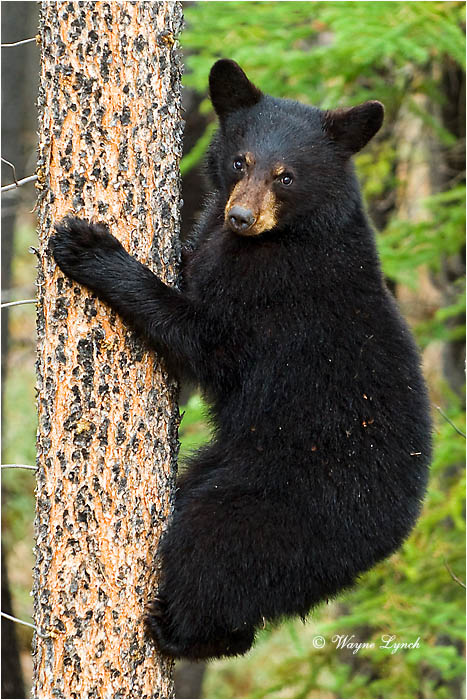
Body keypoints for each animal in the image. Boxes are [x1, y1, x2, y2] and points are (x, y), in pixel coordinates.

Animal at [50, 59, 432, 661]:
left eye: (286, 176)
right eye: (239, 162)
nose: (241, 216)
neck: (287, 236)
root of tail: (389, 541)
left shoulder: (272, 297)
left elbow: (203, 340)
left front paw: (90, 249)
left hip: (275, 507)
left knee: (212, 552)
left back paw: (176, 628)